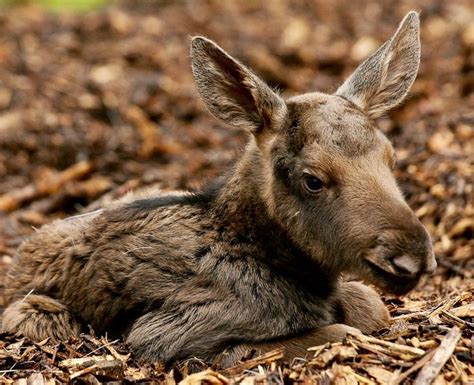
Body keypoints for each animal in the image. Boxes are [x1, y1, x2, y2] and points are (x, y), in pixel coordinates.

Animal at [1, 12, 436, 366]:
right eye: (313, 180)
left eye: (392, 157)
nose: (410, 259)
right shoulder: (164, 332)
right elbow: (337, 332)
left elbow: (371, 306)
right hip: (35, 314)